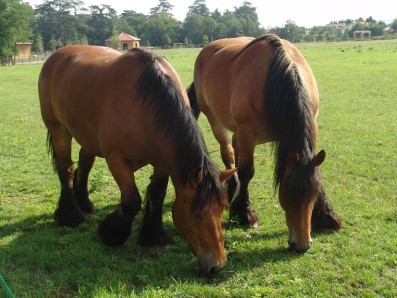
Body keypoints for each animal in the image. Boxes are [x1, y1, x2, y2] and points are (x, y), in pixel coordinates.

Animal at [37, 44, 234, 274]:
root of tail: (58, 54)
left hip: (87, 135)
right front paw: (111, 234)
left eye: (222, 210)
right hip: (58, 129)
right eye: (198, 215)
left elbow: (157, 195)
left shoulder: (163, 162)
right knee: (66, 169)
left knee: (84, 165)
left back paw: (84, 202)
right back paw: (70, 215)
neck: (145, 101)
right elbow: (132, 201)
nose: (216, 265)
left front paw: (153, 236)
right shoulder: (116, 159)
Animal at [188, 35, 340, 254]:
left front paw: (325, 214)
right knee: (228, 152)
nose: (302, 244)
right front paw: (245, 213)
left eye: (313, 194)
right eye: (286, 193)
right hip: (216, 121)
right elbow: (247, 172)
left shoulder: (313, 125)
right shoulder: (248, 133)